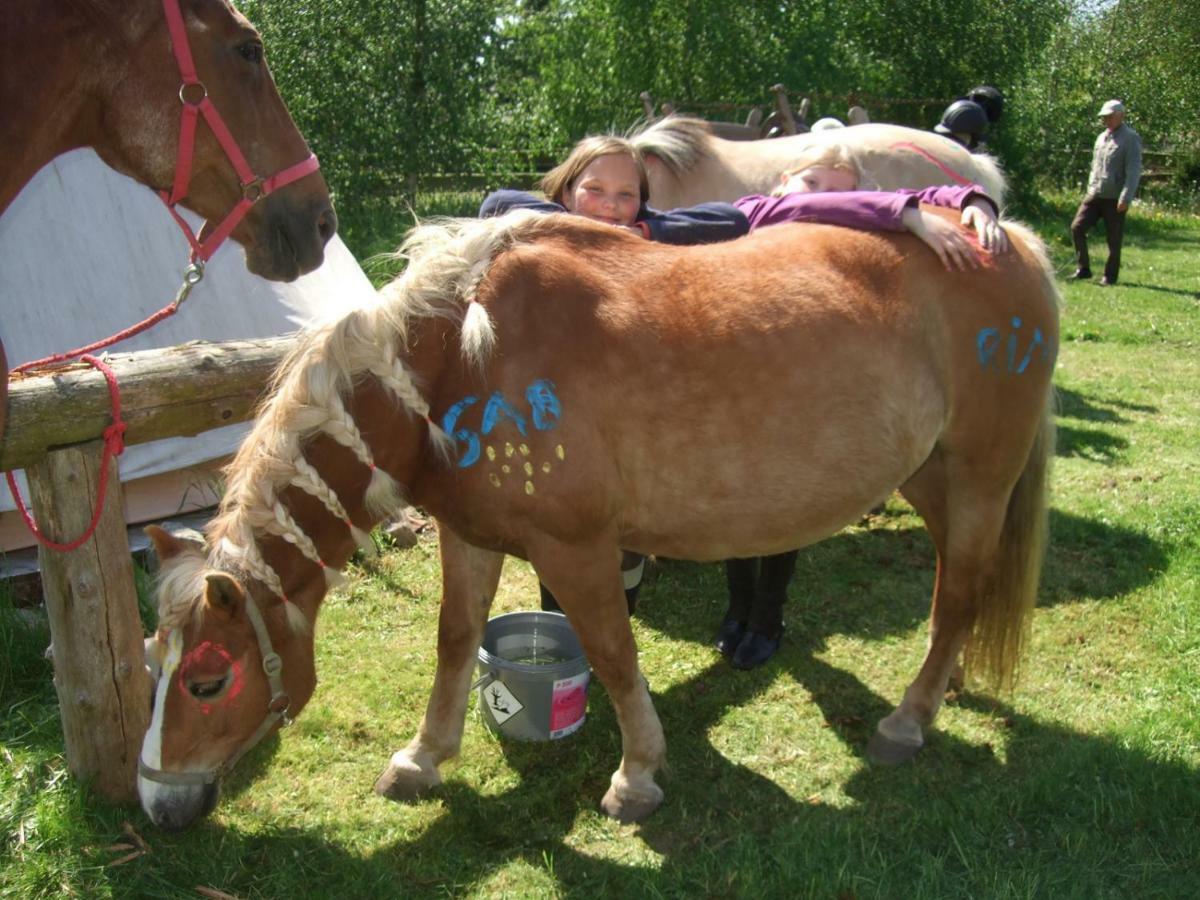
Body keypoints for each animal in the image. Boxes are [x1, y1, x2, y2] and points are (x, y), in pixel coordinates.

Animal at [142, 204, 1060, 830]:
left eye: (208, 680)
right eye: (153, 664)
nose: (157, 804)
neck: (460, 360)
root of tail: (1008, 238)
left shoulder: (577, 548)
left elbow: (616, 655)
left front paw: (638, 774)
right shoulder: (468, 537)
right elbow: (454, 639)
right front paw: (424, 757)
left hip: (981, 475)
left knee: (959, 591)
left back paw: (907, 721)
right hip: (933, 478)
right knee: (957, 589)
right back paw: (947, 686)